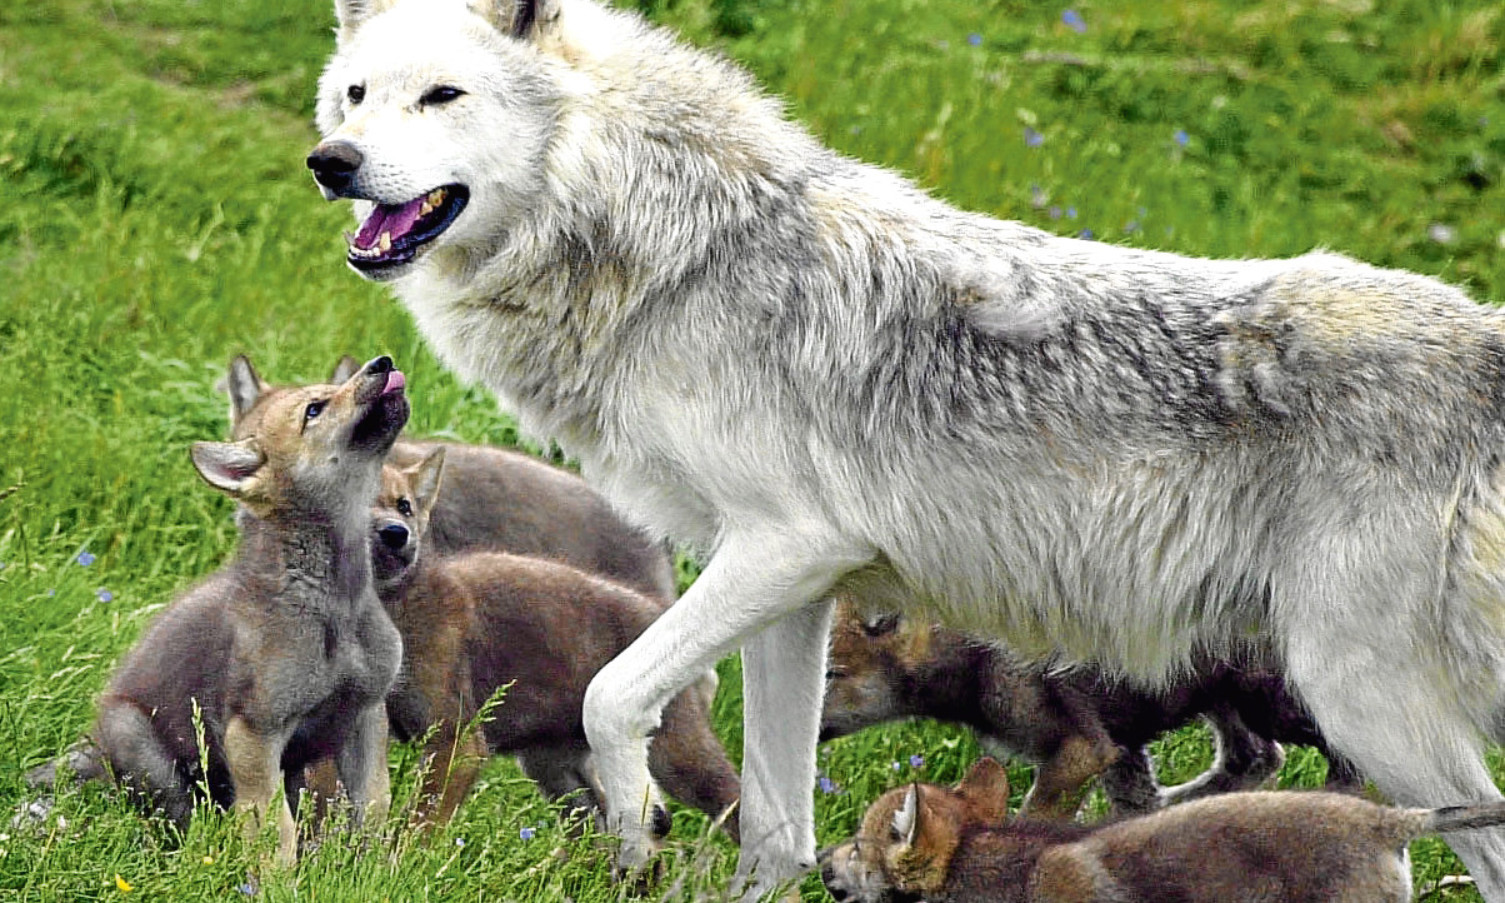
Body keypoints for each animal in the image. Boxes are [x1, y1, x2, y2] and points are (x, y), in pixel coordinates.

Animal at [311, 0, 1505, 896]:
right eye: (358, 94)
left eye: (442, 96)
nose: (332, 161)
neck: (671, 253)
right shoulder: (792, 589)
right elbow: (777, 825)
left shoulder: (781, 548)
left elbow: (612, 698)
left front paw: (636, 824)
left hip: (1368, 707)